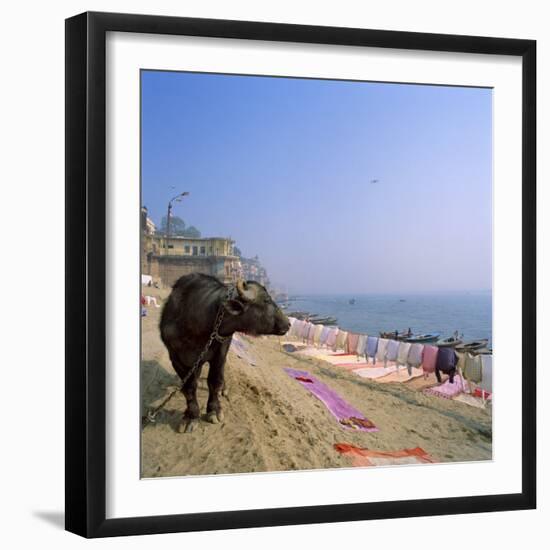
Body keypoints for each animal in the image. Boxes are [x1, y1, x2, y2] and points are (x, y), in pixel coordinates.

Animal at [160, 274, 292, 434]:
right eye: (266, 300)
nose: (288, 323)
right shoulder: (175, 359)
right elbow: (189, 387)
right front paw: (191, 416)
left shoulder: (220, 354)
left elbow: (215, 381)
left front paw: (213, 410)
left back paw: (224, 389)